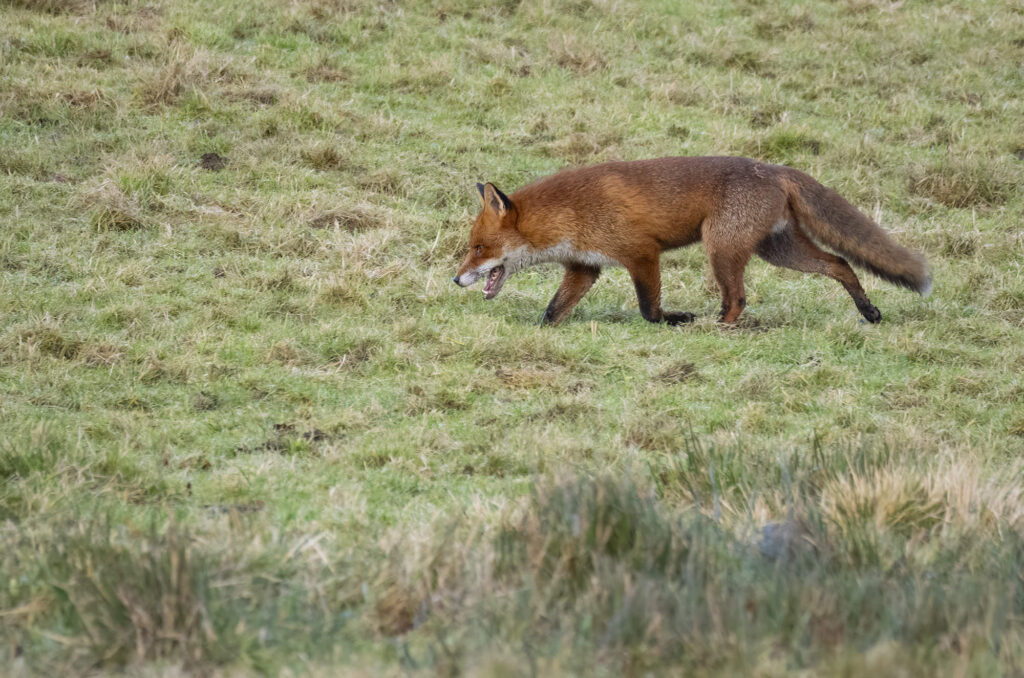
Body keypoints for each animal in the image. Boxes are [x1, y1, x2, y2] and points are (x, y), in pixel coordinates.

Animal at [453, 156, 931, 326]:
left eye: (478, 248)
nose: (455, 280)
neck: (572, 212)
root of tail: (774, 167)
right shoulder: (584, 267)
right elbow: (553, 311)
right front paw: (543, 331)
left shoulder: (642, 252)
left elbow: (648, 309)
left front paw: (673, 319)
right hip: (778, 250)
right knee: (841, 263)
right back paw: (869, 311)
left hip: (719, 247)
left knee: (738, 299)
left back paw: (715, 328)